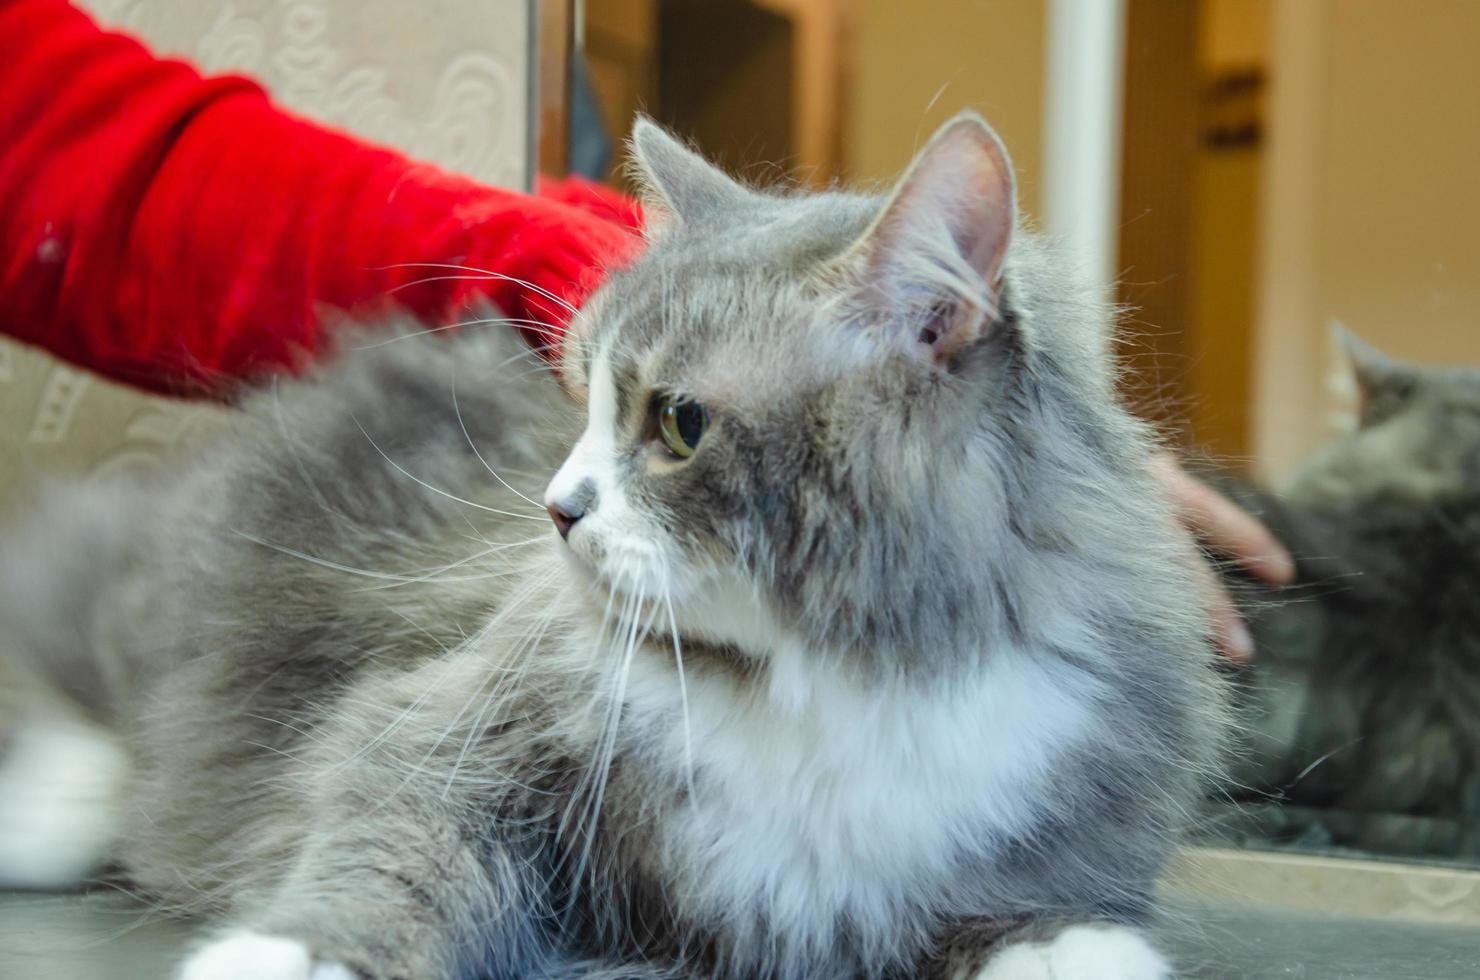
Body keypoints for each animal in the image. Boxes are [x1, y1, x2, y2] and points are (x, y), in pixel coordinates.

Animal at [0, 116, 1225, 980]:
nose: (558, 507)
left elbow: (1033, 901)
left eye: (678, 424)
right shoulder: (441, 738)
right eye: (583, 393)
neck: (829, 680)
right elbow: (389, 863)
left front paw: (1067, 945)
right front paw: (291, 953)